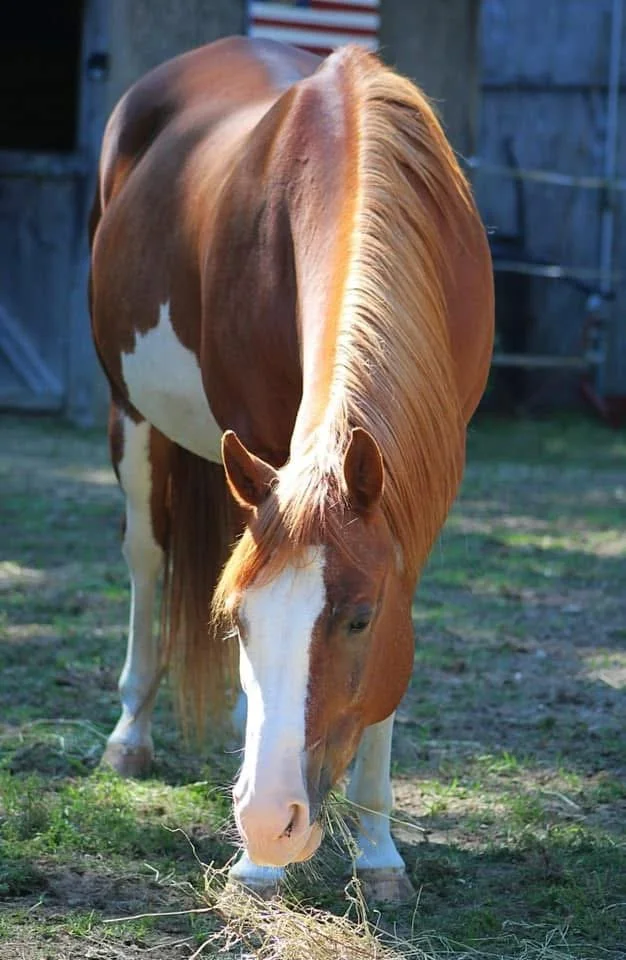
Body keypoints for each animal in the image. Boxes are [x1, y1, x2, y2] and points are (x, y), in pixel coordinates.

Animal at [89, 35, 494, 901]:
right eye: (238, 621)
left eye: (360, 620)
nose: (270, 821)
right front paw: (255, 864)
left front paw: (378, 850)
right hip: (130, 413)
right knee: (147, 557)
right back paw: (131, 732)